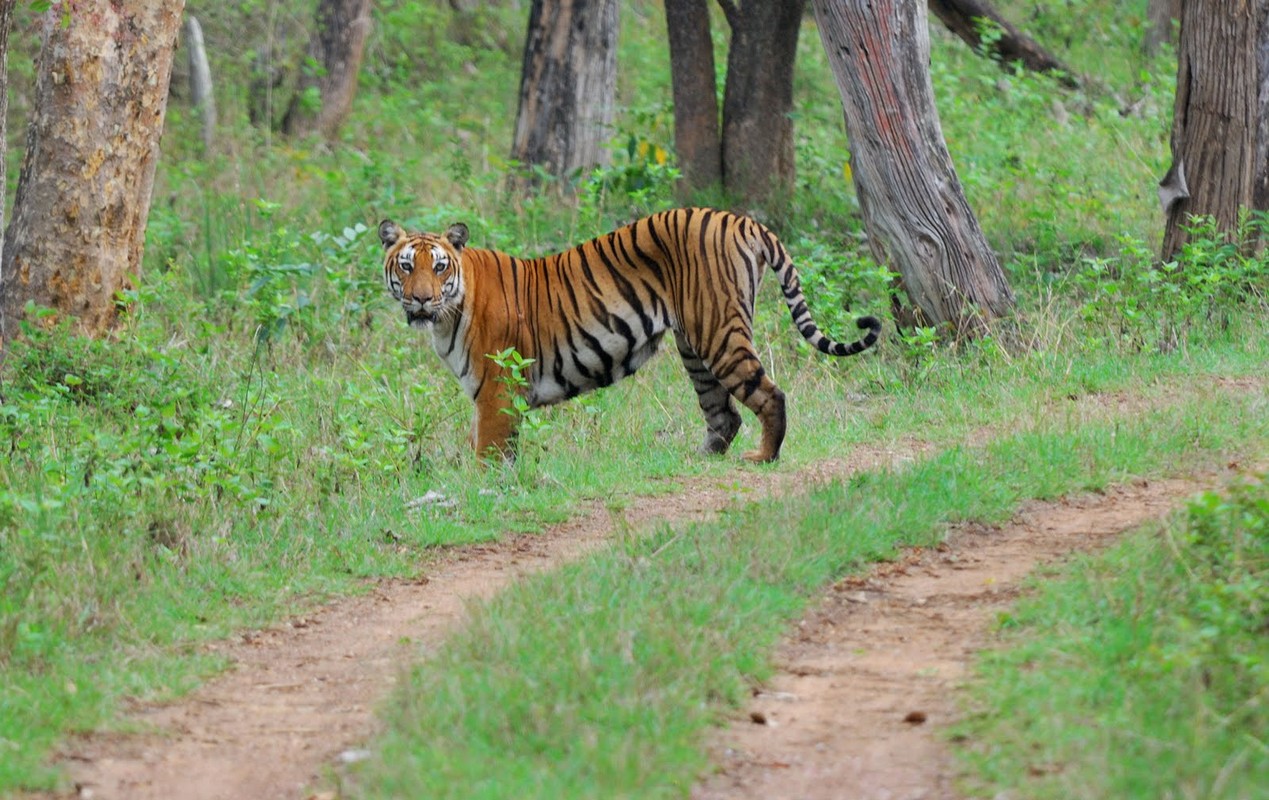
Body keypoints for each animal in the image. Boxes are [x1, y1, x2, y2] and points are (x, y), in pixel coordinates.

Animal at [370, 208, 878, 464]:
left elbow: (490, 451)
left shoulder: (497, 389)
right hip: (695, 346)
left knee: (770, 395)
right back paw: (700, 458)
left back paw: (763, 457)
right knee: (723, 413)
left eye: (439, 267)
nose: (420, 300)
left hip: (719, 332)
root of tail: (740, 219)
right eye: (406, 266)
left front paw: (485, 487)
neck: (449, 315)